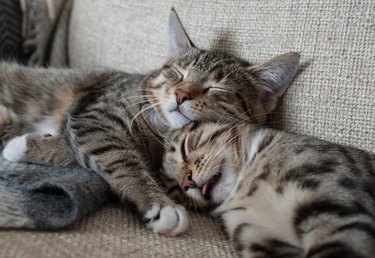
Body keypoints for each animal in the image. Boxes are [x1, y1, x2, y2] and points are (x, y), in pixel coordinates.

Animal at [0, 9, 300, 236]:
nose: (181, 94)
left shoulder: (90, 124)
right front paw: (158, 204)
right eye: (179, 73)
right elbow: (120, 156)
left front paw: (28, 145)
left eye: (217, 88)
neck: (163, 132)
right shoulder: (96, 117)